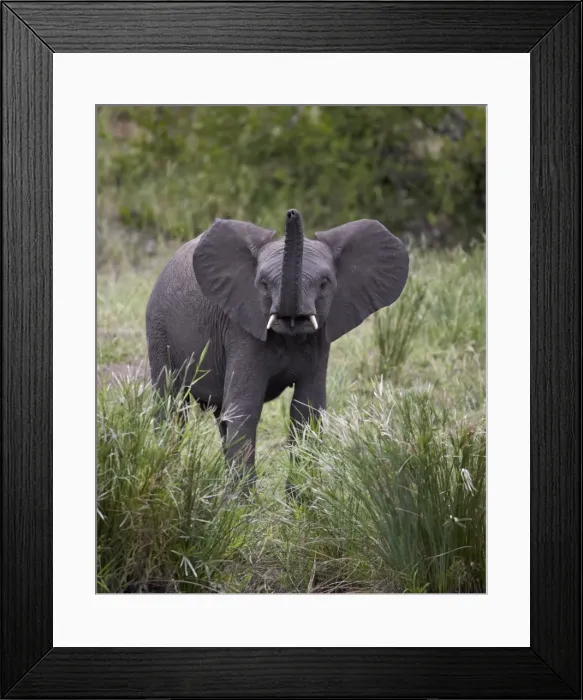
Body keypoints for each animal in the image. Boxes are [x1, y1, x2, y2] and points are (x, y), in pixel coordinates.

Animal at [146, 209, 409, 483]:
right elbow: (244, 409)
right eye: (263, 284)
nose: (292, 213)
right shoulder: (242, 328)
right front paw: (242, 496)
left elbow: (307, 411)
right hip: (159, 330)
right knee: (172, 407)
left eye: (324, 283)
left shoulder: (320, 340)